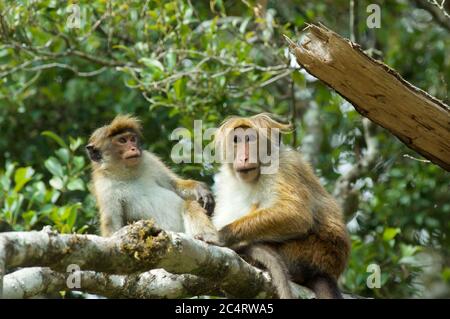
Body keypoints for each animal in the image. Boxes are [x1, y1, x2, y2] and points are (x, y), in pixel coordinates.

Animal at [85, 114, 219, 241]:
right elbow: (113, 226)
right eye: (122, 140)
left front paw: (200, 189)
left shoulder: (150, 160)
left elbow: (174, 185)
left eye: (132, 139)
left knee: (189, 204)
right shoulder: (104, 189)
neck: (126, 173)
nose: (133, 148)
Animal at [211, 113, 352, 300]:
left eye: (250, 139)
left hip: (309, 253)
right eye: (236, 140)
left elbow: (296, 215)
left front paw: (221, 235)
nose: (243, 158)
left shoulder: (283, 166)